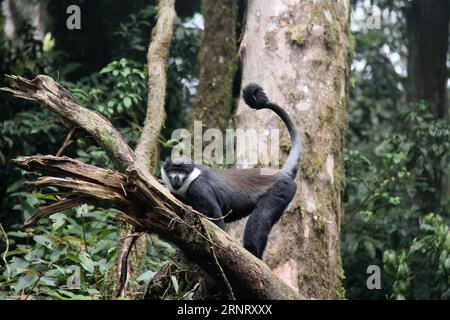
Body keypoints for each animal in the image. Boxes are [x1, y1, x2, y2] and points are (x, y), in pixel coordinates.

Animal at [162, 84, 302, 258]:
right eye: (172, 170)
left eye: (182, 171)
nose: (176, 178)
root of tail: (280, 173)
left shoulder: (199, 189)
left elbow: (217, 224)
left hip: (283, 189)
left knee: (261, 217)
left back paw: (252, 252)